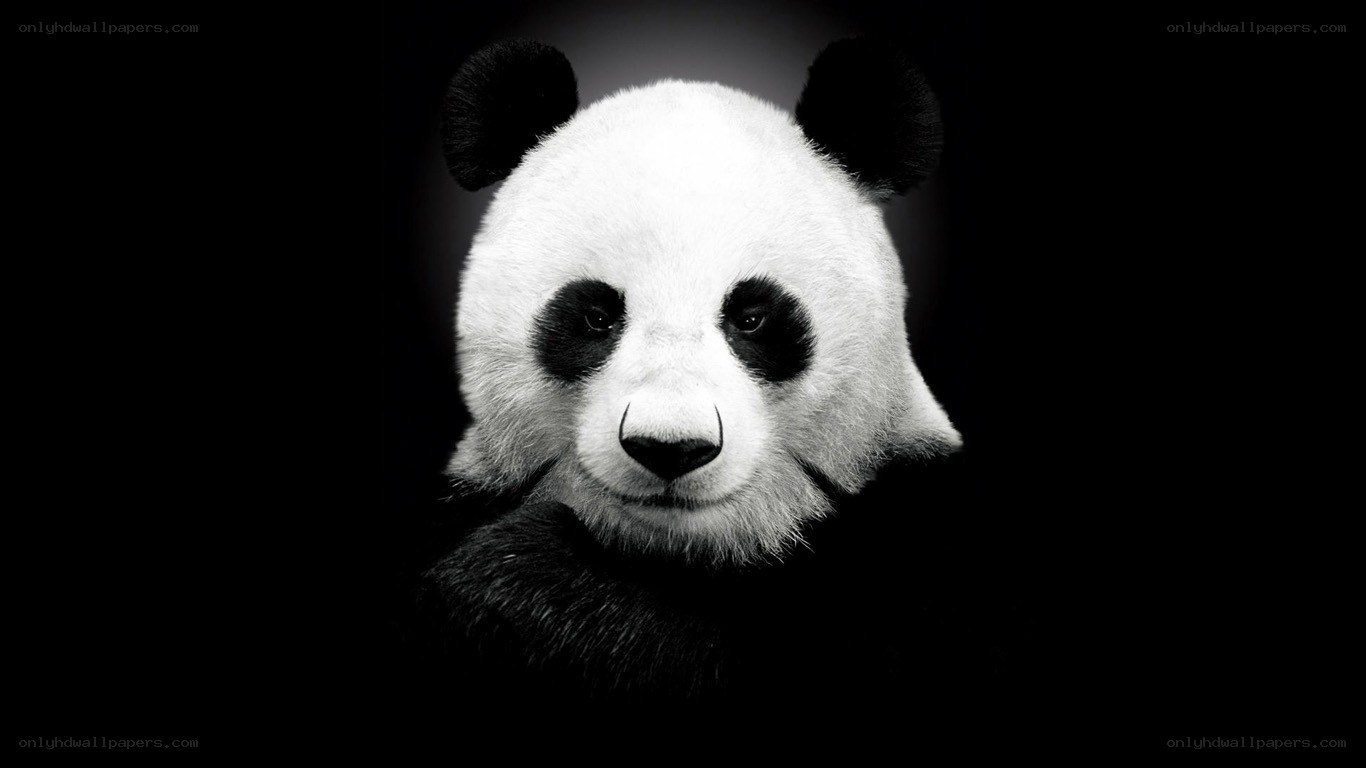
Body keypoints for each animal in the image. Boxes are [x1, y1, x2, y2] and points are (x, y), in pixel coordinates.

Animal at [412, 38, 1000, 710]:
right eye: (595, 317)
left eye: (752, 317)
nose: (671, 448)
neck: (683, 552)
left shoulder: (919, 538)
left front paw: (519, 582)